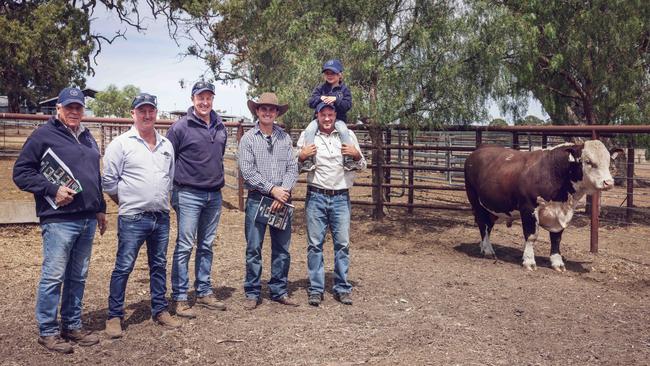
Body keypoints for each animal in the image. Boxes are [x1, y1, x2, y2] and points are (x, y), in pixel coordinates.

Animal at [464, 140, 620, 272]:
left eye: (609, 161)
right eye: (588, 161)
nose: (609, 182)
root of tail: (479, 149)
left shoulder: (561, 213)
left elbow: (556, 238)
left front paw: (557, 262)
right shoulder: (528, 209)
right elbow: (531, 236)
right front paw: (529, 261)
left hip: (492, 208)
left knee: (488, 226)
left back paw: (484, 246)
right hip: (475, 202)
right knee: (482, 225)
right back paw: (487, 250)